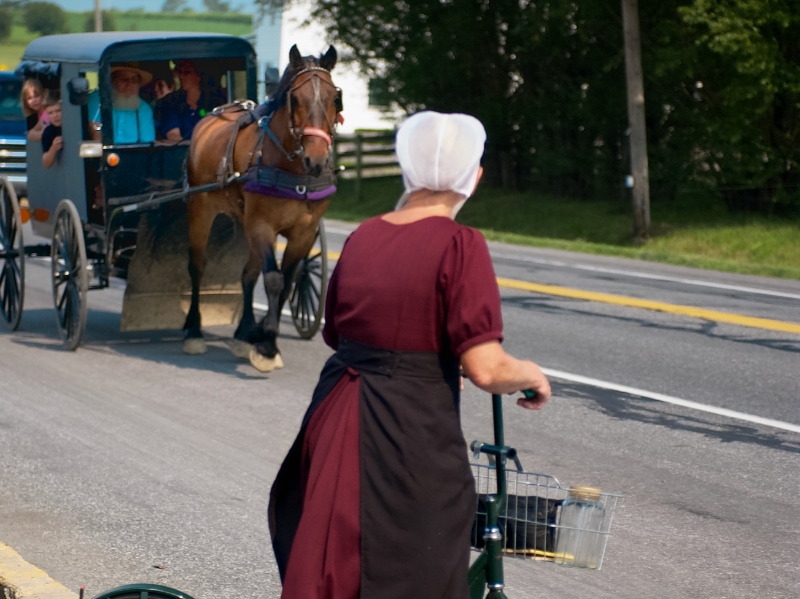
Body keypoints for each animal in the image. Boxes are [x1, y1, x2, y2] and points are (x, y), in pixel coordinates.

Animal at [181, 44, 340, 370]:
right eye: (295, 99)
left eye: (335, 98)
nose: (316, 160)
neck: (292, 168)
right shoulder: (262, 225)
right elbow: (274, 280)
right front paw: (266, 346)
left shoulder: (303, 232)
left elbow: (287, 281)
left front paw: (262, 338)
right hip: (201, 209)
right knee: (197, 266)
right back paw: (193, 330)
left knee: (248, 274)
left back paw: (243, 333)